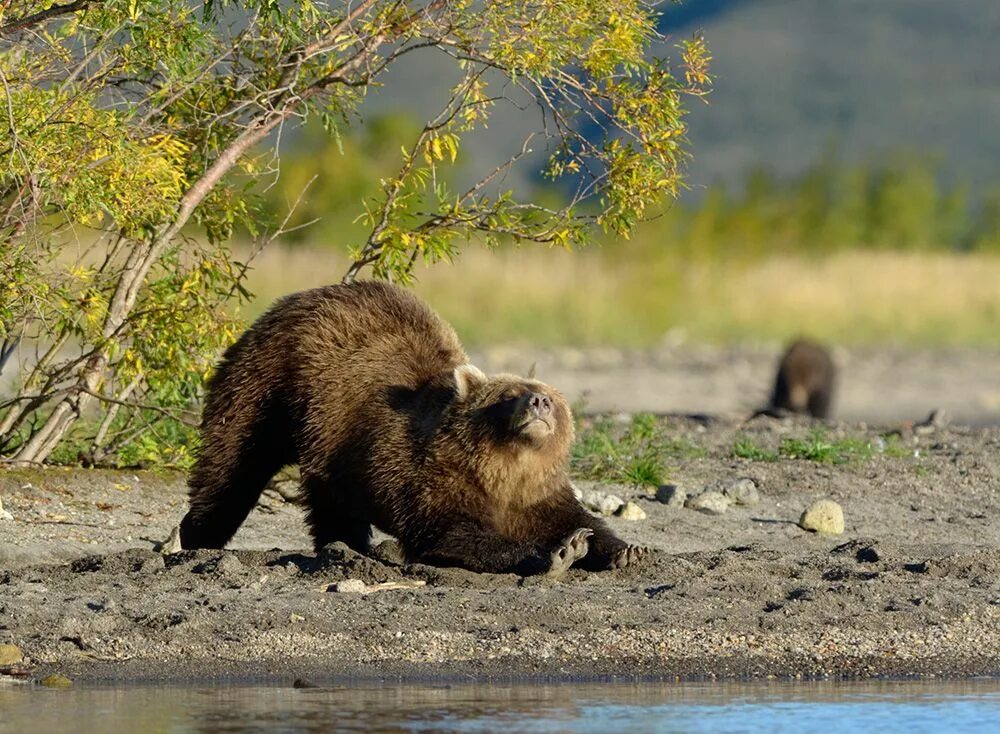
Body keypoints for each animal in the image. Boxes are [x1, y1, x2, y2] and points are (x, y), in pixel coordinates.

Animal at [180, 282, 644, 576]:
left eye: (552, 396)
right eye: (509, 393)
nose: (539, 402)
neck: (502, 470)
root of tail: (291, 300)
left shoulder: (537, 491)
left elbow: (576, 516)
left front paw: (622, 549)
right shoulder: (430, 475)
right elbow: (449, 533)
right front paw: (556, 552)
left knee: (328, 494)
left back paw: (348, 547)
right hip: (272, 384)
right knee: (234, 460)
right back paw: (199, 536)